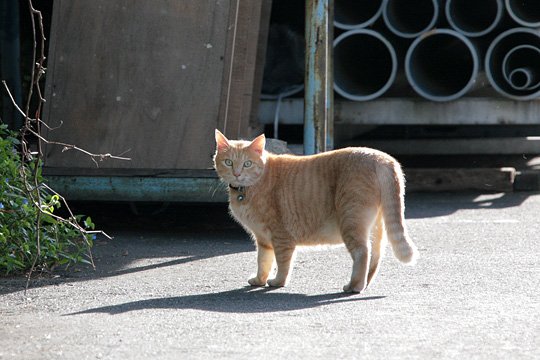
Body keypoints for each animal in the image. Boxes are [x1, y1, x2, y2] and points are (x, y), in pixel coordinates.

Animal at [214, 129, 418, 292]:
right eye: (228, 162)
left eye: (247, 163)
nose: (237, 174)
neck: (248, 190)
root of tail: (382, 157)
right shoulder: (263, 239)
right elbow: (263, 261)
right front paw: (259, 280)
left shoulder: (281, 237)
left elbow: (282, 263)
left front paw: (278, 282)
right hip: (376, 227)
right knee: (376, 256)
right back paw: (365, 283)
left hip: (351, 221)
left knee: (362, 253)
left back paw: (354, 286)